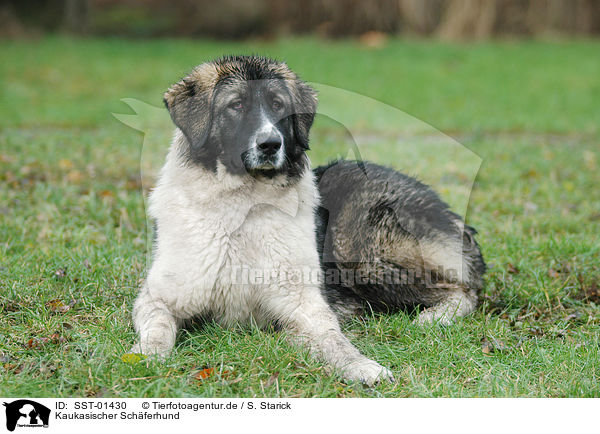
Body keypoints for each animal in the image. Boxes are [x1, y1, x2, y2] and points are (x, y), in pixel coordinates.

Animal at [132, 53, 488, 384]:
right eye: (236, 105)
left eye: (278, 105)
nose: (270, 144)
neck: (243, 207)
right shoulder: (157, 298)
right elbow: (158, 327)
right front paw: (146, 356)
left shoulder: (306, 304)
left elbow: (333, 339)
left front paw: (361, 366)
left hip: (358, 254)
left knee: (464, 290)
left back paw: (433, 318)